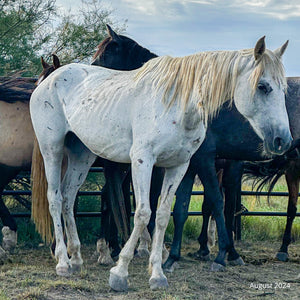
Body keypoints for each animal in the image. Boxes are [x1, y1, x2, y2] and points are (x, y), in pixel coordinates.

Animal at [30, 37, 290, 290]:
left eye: (283, 89)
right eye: (263, 86)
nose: (282, 140)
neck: (177, 104)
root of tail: (48, 80)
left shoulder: (178, 166)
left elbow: (164, 214)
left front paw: (157, 274)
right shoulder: (142, 161)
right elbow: (143, 213)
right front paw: (120, 272)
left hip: (81, 154)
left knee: (67, 197)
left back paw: (76, 258)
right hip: (52, 149)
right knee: (55, 198)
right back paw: (63, 262)